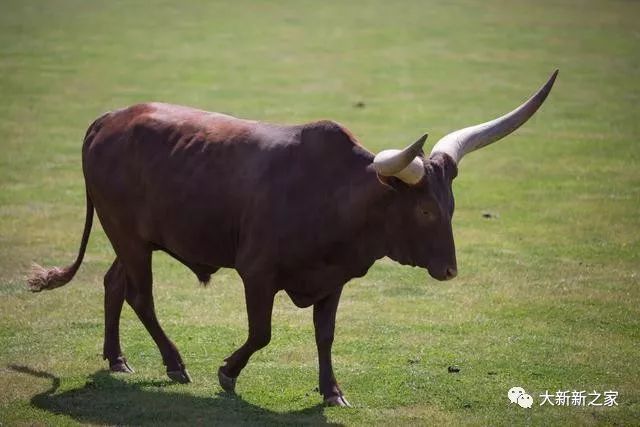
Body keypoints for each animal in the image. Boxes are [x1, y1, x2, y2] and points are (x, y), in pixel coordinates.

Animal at [27, 71, 556, 408]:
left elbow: (325, 334)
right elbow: (261, 333)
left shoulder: (333, 280)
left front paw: (332, 390)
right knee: (140, 295)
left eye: (450, 207)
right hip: (129, 238)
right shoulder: (257, 273)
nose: (449, 270)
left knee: (114, 284)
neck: (333, 196)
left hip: (133, 238)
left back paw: (117, 359)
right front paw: (227, 372)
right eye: (425, 209)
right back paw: (175, 363)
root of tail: (111, 117)